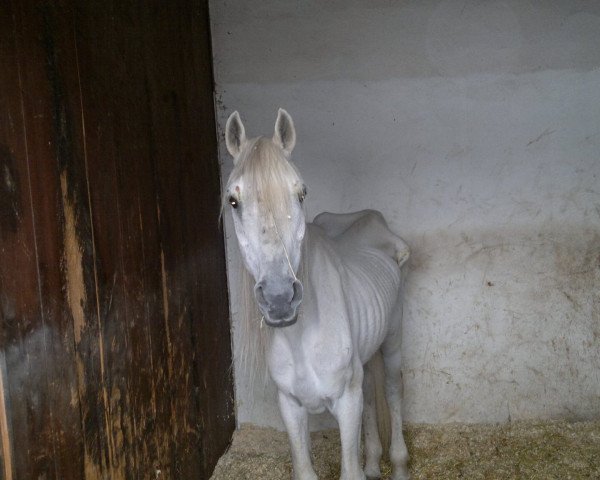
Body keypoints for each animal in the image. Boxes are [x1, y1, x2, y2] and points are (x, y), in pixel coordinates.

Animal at [225, 109, 412, 480]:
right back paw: (373, 463)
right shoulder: (291, 406)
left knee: (392, 390)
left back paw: (398, 466)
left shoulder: (346, 403)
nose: (280, 297)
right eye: (233, 200)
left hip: (393, 339)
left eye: (301, 193)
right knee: (372, 394)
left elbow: (350, 470)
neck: (302, 337)